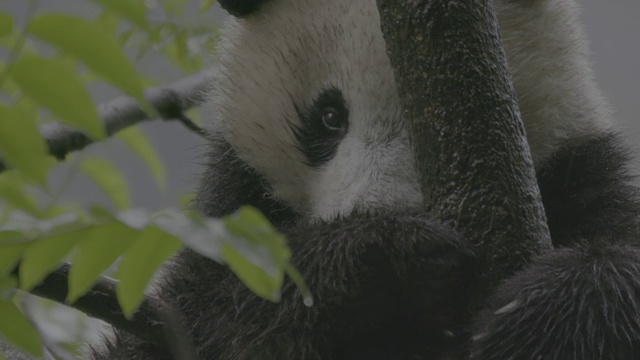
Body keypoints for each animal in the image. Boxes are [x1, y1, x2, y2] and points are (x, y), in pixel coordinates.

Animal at [91, 0, 640, 358]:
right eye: (330, 117)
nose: (379, 208)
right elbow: (198, 319)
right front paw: (385, 258)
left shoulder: (580, 169)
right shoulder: (232, 208)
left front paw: (537, 315)